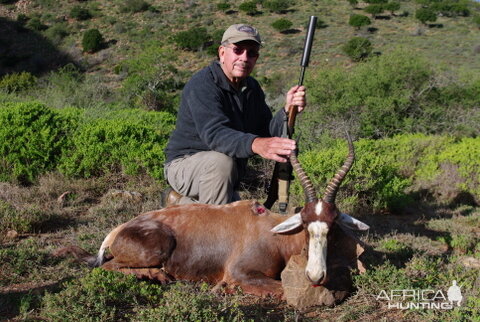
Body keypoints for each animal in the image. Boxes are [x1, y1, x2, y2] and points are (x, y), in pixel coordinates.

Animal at [95, 136, 370, 296]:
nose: (315, 276)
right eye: (305, 223)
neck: (271, 231)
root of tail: (118, 231)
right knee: (107, 266)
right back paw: (159, 276)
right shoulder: (241, 273)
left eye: (332, 225)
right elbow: (282, 289)